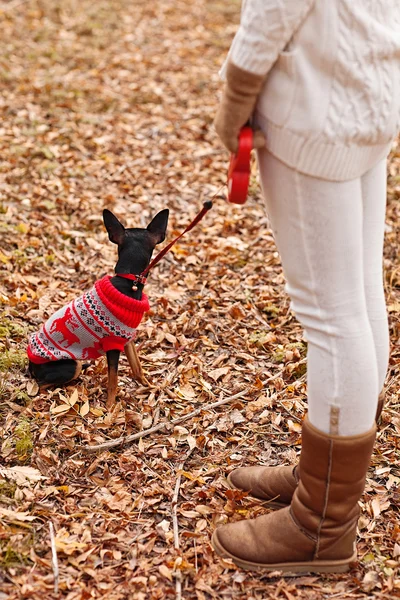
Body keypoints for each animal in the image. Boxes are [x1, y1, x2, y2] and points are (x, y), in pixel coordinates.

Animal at [28, 209, 169, 406]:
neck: (129, 281)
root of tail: (31, 364)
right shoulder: (113, 345)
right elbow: (113, 381)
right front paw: (109, 408)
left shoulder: (127, 339)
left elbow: (137, 368)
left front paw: (149, 386)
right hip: (72, 365)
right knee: (40, 386)